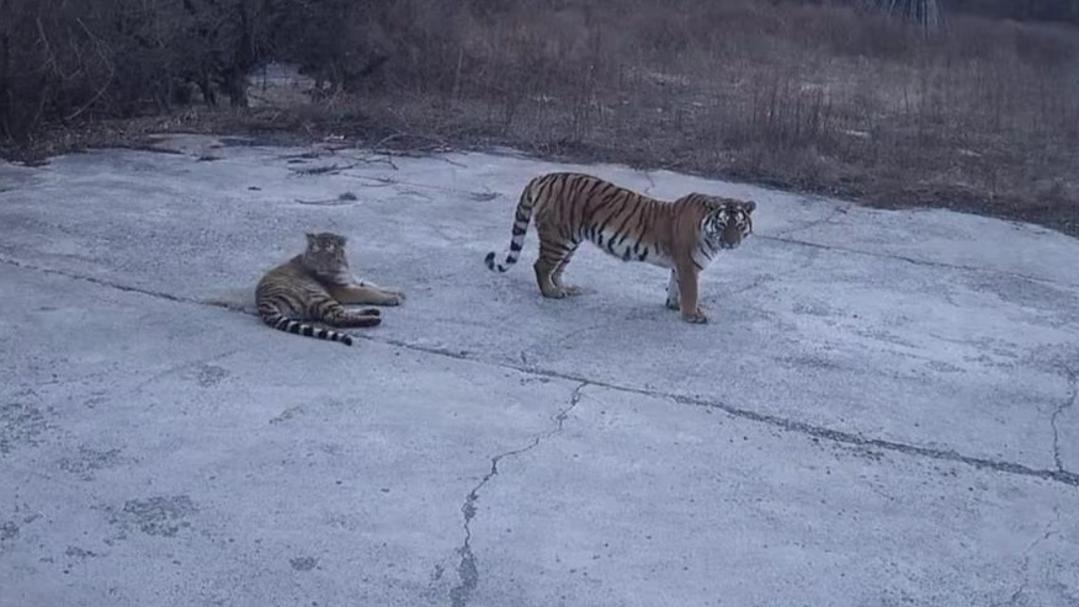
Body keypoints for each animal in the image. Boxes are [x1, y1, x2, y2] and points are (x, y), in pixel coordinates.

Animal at [254, 232, 405, 347]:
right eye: (316, 256)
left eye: (328, 256)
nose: (320, 269)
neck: (341, 269)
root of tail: (263, 302)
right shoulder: (343, 290)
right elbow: (367, 291)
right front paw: (393, 298)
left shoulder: (350, 279)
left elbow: (370, 284)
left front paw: (397, 291)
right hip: (318, 294)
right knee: (335, 317)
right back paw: (373, 319)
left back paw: (372, 311)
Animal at [485, 172, 755, 323]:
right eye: (723, 224)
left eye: (739, 225)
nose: (732, 242)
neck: (707, 230)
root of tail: (544, 177)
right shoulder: (688, 265)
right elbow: (691, 291)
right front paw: (692, 315)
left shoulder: (679, 265)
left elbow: (674, 285)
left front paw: (673, 305)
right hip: (558, 238)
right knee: (541, 265)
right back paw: (551, 293)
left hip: (570, 241)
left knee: (556, 270)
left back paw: (565, 289)